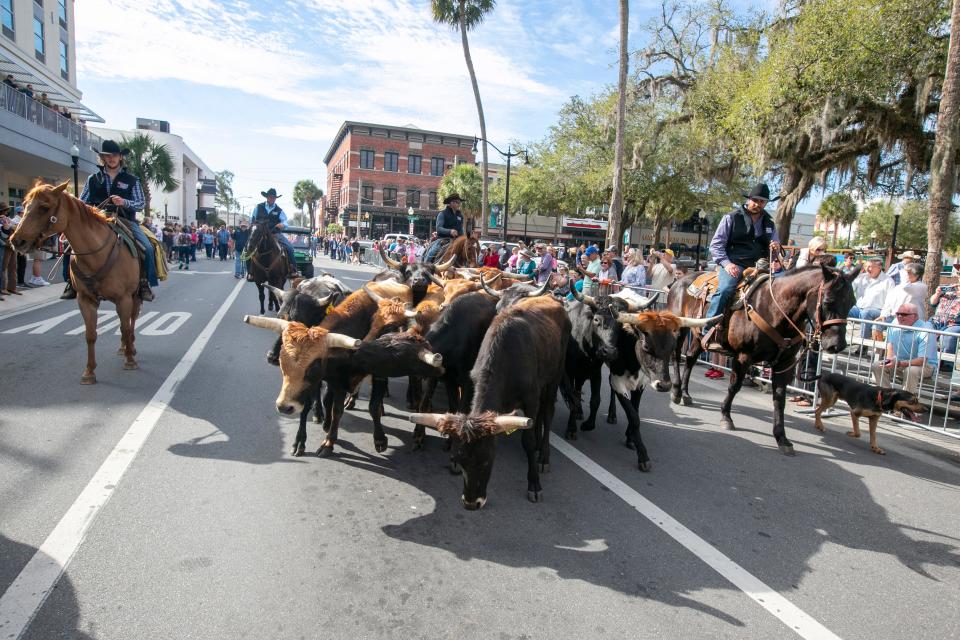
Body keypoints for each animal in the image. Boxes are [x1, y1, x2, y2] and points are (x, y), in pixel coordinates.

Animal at [10, 181, 141, 380]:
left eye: (44, 207)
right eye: (24, 205)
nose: (17, 241)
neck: (96, 254)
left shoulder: (124, 297)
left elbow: (126, 328)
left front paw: (130, 361)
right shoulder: (85, 299)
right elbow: (90, 334)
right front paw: (89, 372)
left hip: (136, 296)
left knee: (131, 321)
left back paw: (130, 348)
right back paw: (123, 348)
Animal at [664, 264, 860, 456]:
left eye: (852, 303)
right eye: (827, 301)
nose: (837, 345)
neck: (776, 309)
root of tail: (680, 280)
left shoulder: (785, 363)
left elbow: (779, 398)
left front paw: (781, 437)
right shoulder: (743, 356)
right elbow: (734, 386)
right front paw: (726, 416)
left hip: (699, 336)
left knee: (690, 358)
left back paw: (686, 393)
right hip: (680, 328)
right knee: (676, 356)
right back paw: (676, 391)